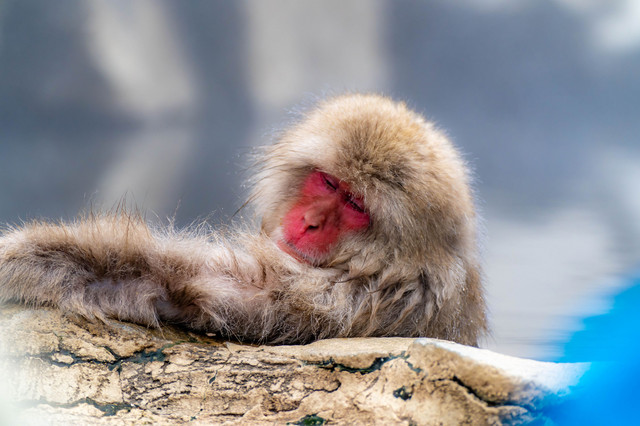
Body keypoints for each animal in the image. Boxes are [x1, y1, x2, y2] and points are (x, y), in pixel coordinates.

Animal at [0, 94, 487, 346]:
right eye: (329, 182)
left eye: (355, 203)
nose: (310, 221)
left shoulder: (357, 296)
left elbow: (184, 285)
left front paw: (22, 258)